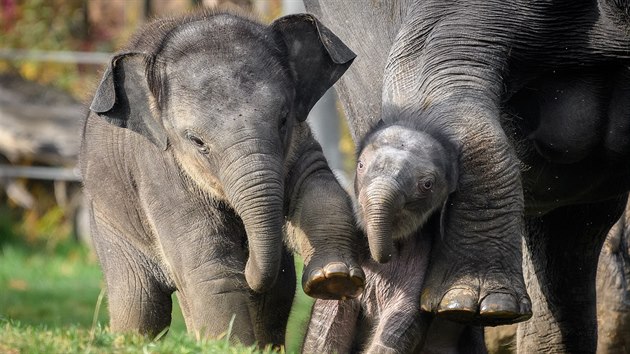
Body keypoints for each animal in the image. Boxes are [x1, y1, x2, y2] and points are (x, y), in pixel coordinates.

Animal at [79, 10, 366, 346]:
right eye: (197, 141)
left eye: (282, 119)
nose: (248, 258)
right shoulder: (159, 170)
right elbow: (210, 265)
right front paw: (230, 346)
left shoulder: (299, 138)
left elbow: (317, 188)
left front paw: (333, 278)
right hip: (109, 224)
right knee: (139, 303)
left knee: (277, 295)